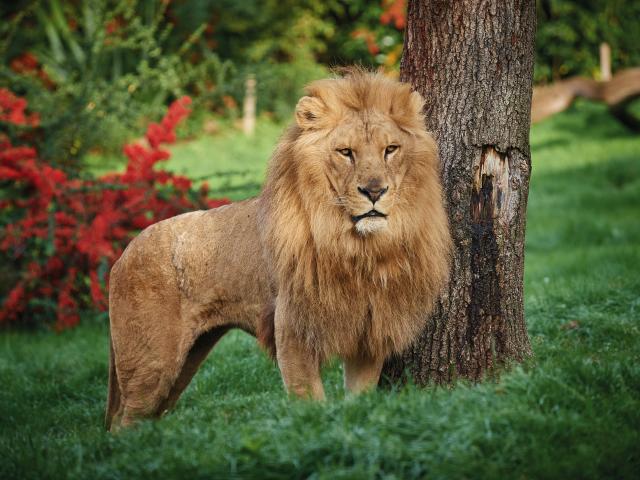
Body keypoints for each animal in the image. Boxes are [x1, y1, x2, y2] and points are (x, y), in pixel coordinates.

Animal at [105, 70, 452, 432]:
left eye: (391, 150)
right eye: (345, 152)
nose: (374, 191)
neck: (356, 246)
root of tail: (125, 251)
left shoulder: (368, 333)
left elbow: (360, 396)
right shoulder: (291, 326)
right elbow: (308, 398)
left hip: (186, 360)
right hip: (152, 361)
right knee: (124, 424)